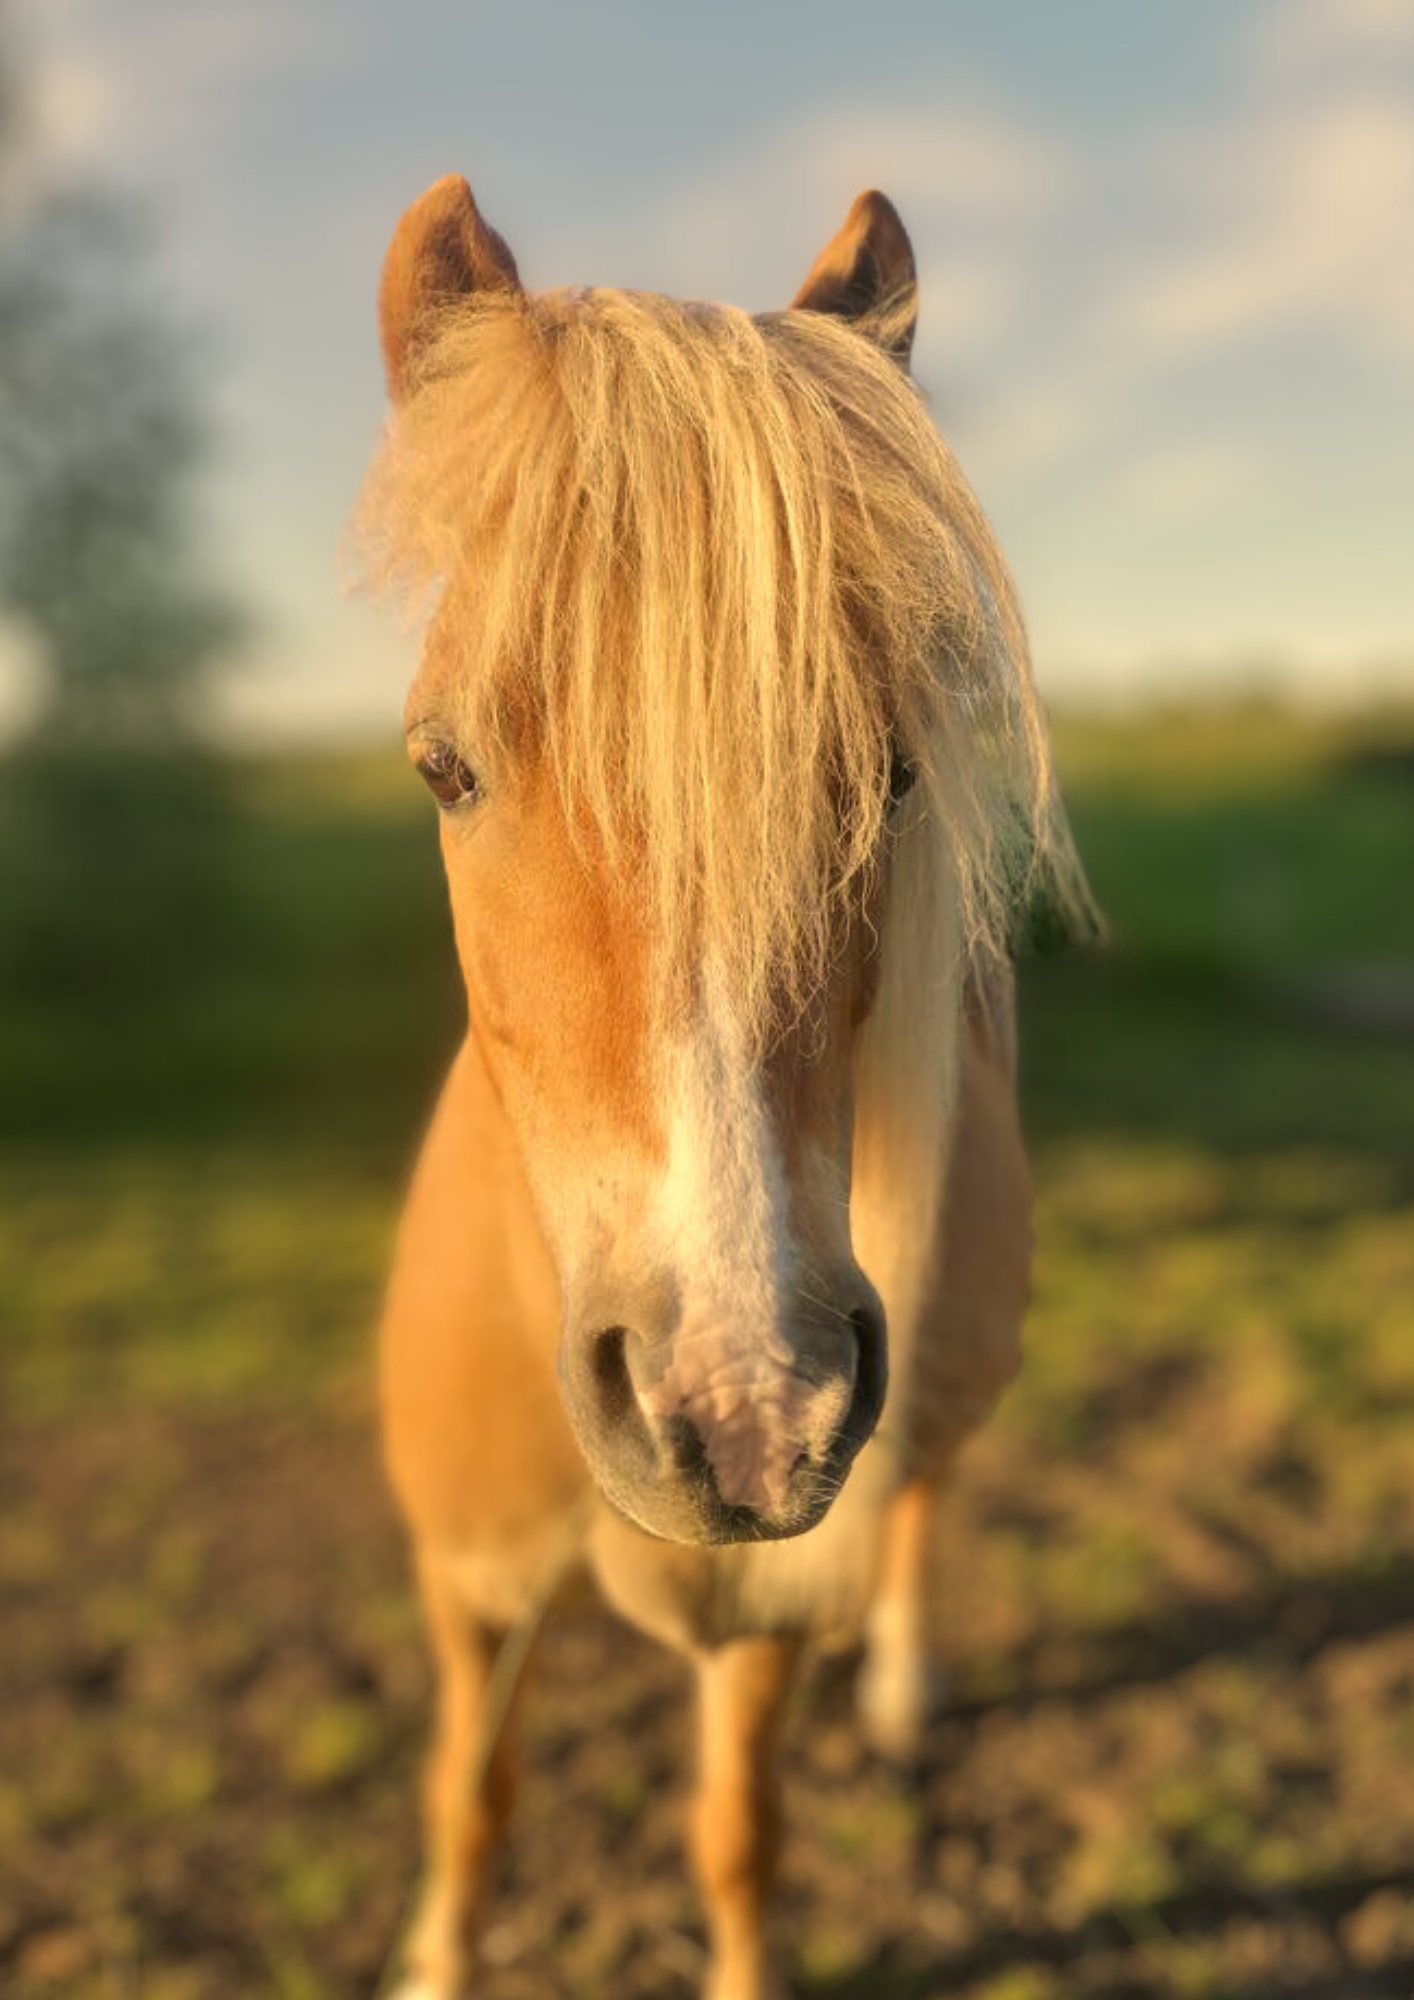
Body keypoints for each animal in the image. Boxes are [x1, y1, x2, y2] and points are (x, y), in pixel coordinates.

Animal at [354, 176, 1096, 2000]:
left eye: (891, 773)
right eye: (443, 766)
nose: (746, 1402)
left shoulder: (758, 1614)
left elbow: (734, 1837)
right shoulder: (466, 1588)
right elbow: (467, 1801)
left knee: (920, 1504)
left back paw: (898, 1689)